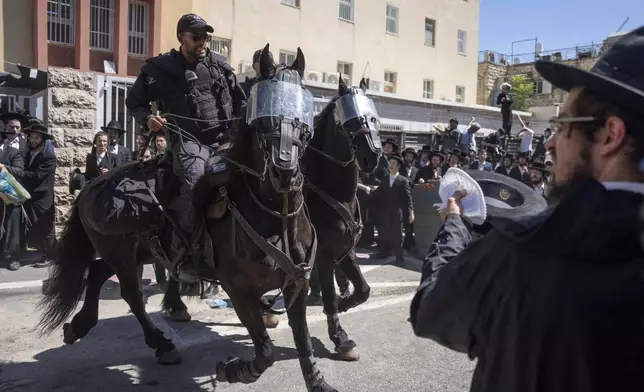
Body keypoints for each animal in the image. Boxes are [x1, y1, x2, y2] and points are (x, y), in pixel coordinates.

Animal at [36, 44, 338, 390]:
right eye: (264, 112)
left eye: (302, 104)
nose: (284, 170)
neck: (277, 218)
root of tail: (91, 185)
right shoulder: (240, 291)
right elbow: (265, 352)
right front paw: (233, 369)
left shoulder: (295, 287)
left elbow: (302, 339)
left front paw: (318, 381)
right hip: (121, 253)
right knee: (130, 294)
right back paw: (160, 343)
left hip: (135, 252)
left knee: (99, 273)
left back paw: (81, 325)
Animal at [302, 75, 382, 360]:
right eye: (346, 122)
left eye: (372, 117)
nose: (372, 157)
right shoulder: (325, 255)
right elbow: (330, 297)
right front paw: (340, 338)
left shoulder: (346, 250)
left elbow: (363, 290)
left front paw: (347, 302)